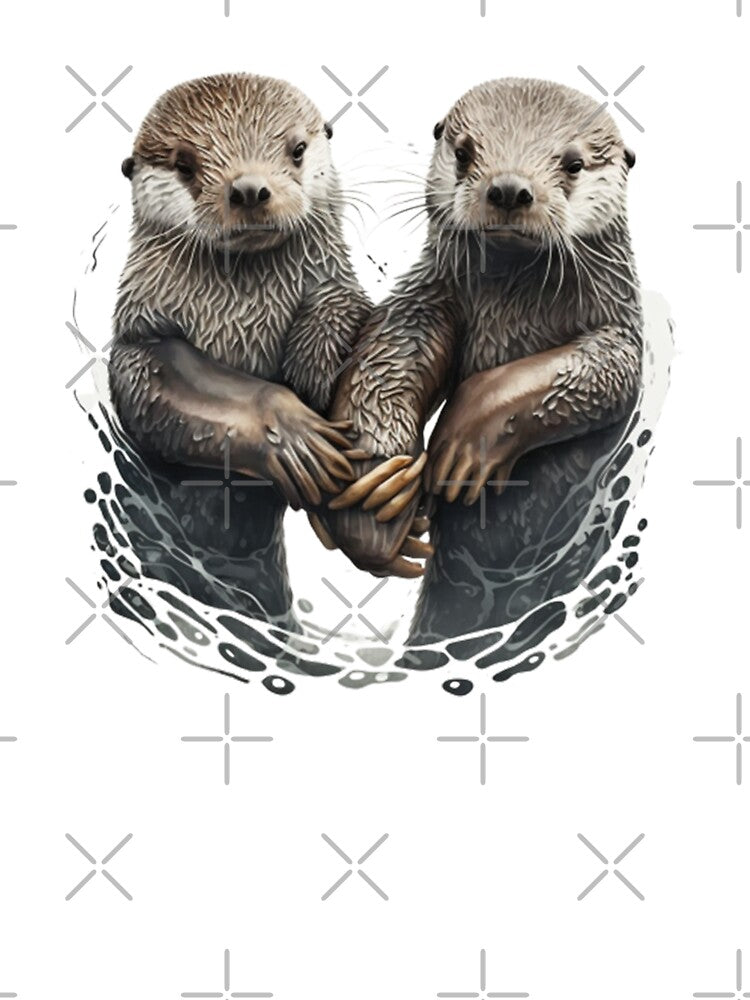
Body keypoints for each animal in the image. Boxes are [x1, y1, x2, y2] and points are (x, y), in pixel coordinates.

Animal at [109, 73, 374, 624]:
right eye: (185, 164)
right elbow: (157, 391)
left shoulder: (337, 285)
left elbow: (341, 304)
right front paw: (291, 431)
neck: (243, 313)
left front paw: (311, 368)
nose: (249, 188)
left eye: (297, 149)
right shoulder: (139, 340)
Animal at [326, 78, 643, 642]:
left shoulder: (621, 328)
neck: (517, 309)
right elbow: (386, 355)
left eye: (574, 164)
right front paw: (378, 490)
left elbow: (603, 371)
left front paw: (466, 435)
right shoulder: (429, 299)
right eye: (464, 152)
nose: (510, 189)